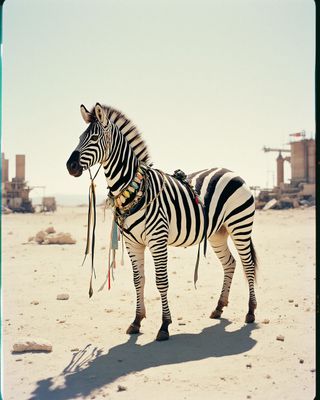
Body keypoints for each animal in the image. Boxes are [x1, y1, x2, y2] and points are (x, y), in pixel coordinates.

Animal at [67, 102, 258, 340]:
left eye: (93, 138)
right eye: (79, 137)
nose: (70, 166)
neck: (133, 187)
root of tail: (231, 172)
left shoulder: (157, 239)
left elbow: (161, 281)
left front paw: (165, 325)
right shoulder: (132, 242)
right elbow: (138, 280)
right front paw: (137, 321)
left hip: (240, 225)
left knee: (248, 265)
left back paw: (250, 312)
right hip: (218, 233)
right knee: (230, 263)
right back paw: (219, 307)